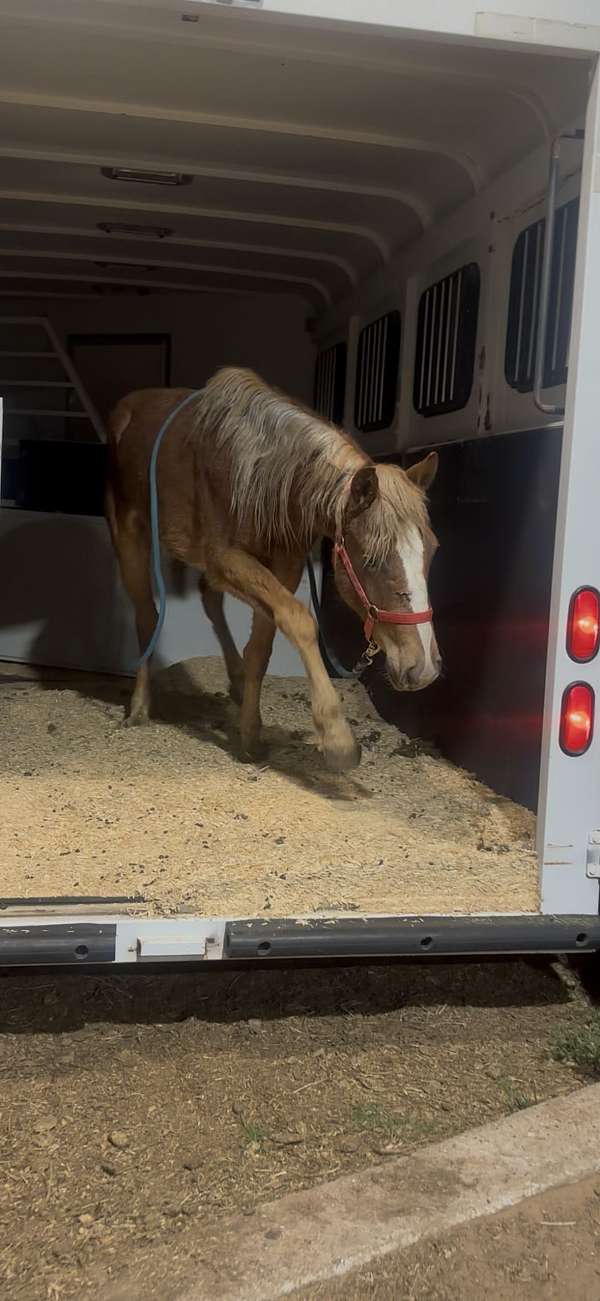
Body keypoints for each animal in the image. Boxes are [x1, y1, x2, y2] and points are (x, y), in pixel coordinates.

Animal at [105, 367, 440, 772]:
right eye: (372, 560)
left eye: (432, 550)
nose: (422, 668)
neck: (261, 474)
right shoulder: (227, 558)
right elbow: (299, 620)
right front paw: (337, 738)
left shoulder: (283, 566)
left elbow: (263, 644)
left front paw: (250, 733)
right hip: (129, 538)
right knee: (146, 614)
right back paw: (139, 708)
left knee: (209, 599)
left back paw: (234, 681)